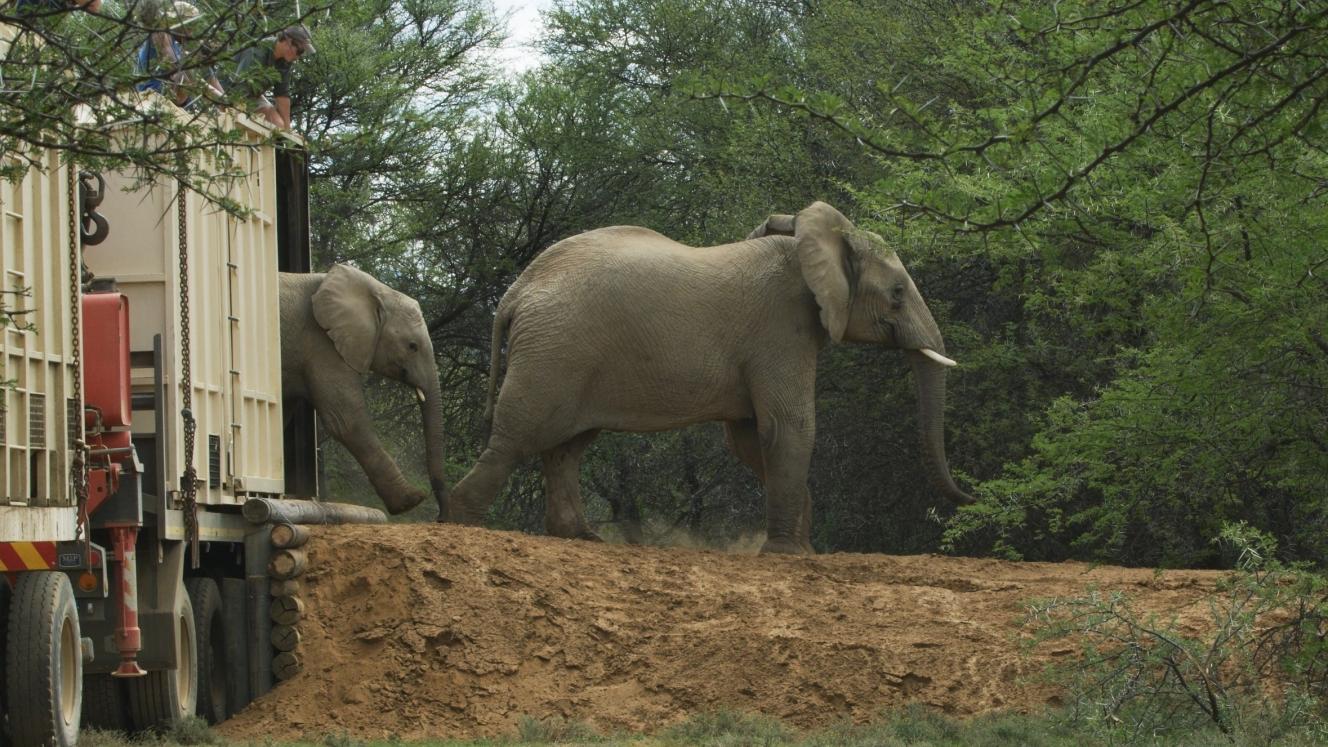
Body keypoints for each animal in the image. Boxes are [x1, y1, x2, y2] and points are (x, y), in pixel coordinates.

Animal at [442, 201, 973, 553]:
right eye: (898, 295)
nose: (968, 496)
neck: (810, 241)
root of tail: (516, 291)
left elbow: (748, 438)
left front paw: (800, 548)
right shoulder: (781, 327)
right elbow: (787, 427)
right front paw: (786, 554)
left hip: (569, 356)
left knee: (565, 447)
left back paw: (582, 537)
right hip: (554, 352)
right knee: (520, 437)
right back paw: (465, 524)